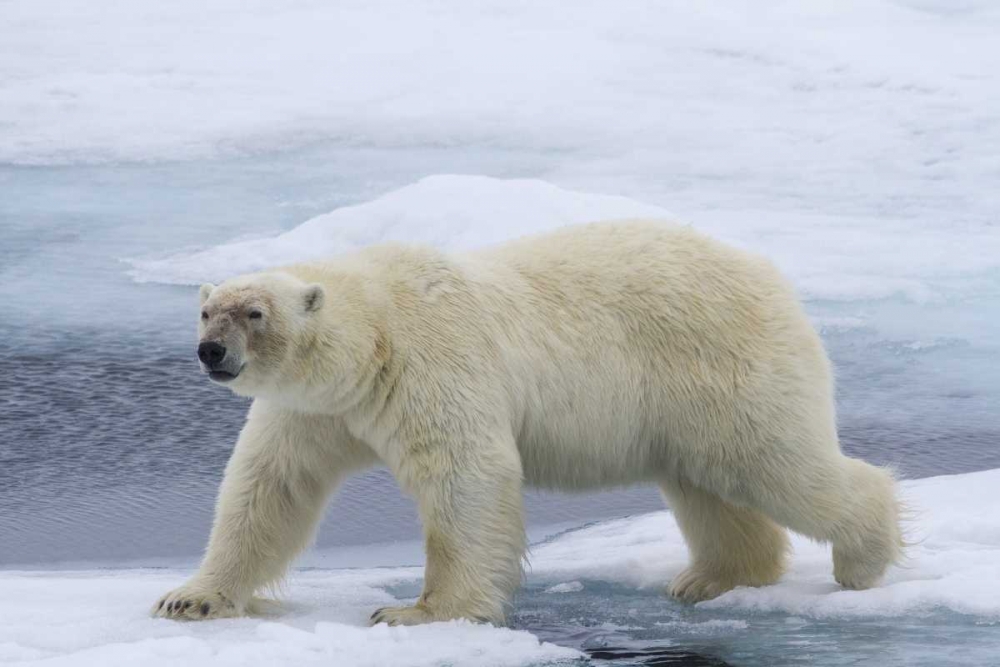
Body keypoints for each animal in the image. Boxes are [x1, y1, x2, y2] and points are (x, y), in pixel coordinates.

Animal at [152, 220, 903, 625]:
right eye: (207, 309)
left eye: (255, 313)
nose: (211, 352)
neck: (376, 334)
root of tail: (771, 277)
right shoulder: (316, 409)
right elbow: (269, 486)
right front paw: (191, 598)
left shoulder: (433, 362)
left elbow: (465, 477)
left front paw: (419, 610)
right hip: (687, 405)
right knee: (710, 485)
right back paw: (712, 578)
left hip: (722, 365)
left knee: (776, 462)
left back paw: (862, 558)